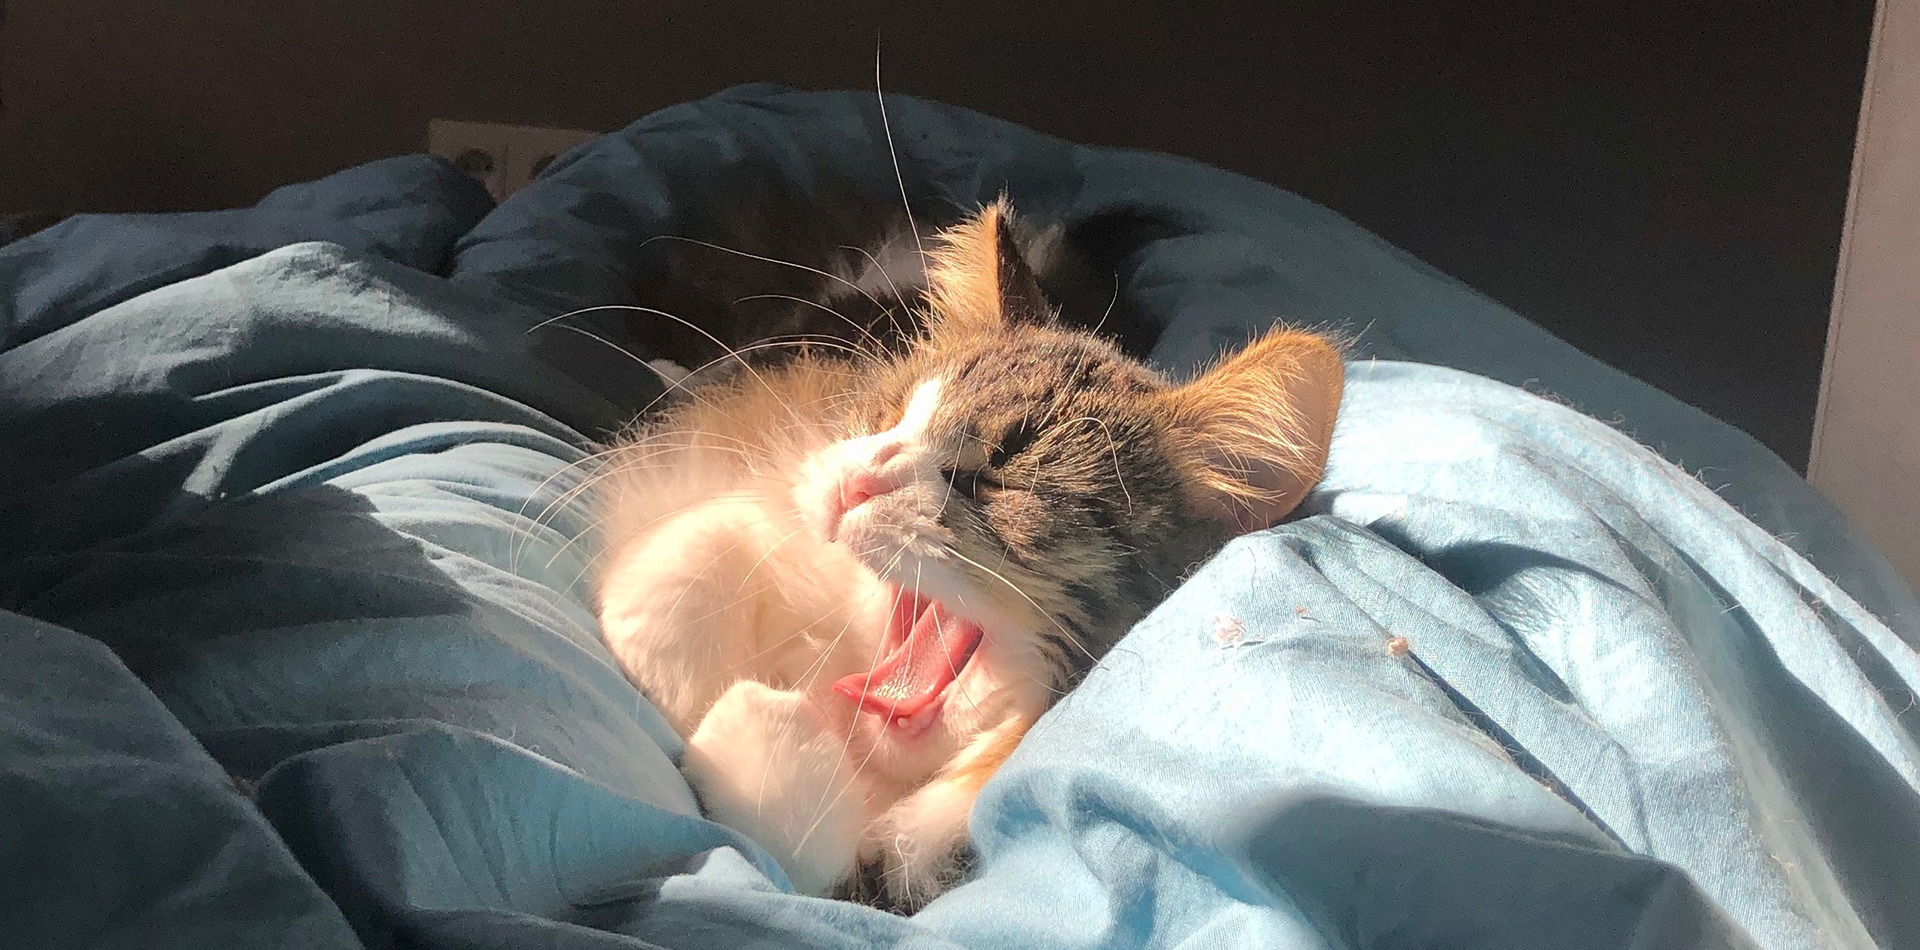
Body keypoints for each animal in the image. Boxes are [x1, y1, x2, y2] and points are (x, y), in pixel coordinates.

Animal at [591, 196, 1344, 909]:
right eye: (890, 416)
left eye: (998, 476)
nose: (853, 483)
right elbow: (685, 556)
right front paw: (685, 687)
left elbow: (804, 849)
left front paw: (746, 713)